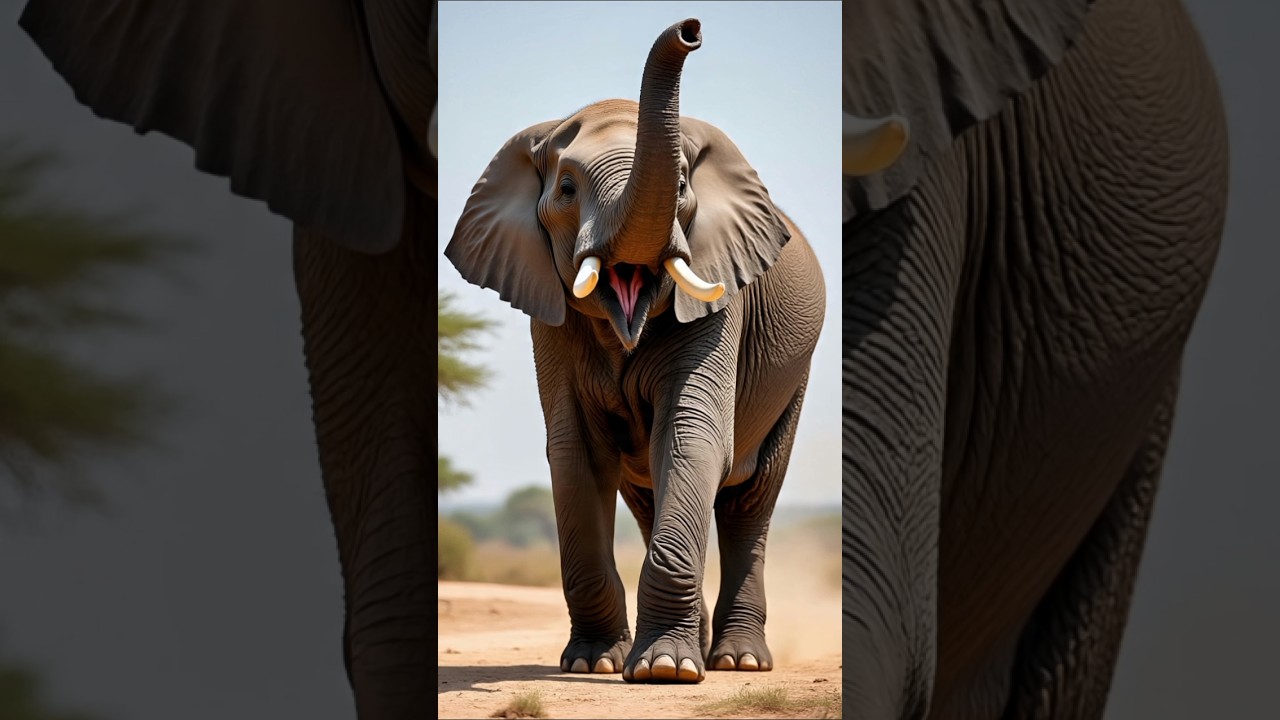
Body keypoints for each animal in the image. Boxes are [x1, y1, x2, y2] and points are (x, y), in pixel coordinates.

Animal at [444, 18, 828, 683]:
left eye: (683, 185)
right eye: (566, 188)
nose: (691, 30)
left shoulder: (723, 300)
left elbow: (692, 434)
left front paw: (664, 671)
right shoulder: (550, 314)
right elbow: (576, 451)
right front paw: (596, 663)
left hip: (794, 380)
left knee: (751, 498)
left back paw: (737, 661)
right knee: (649, 495)